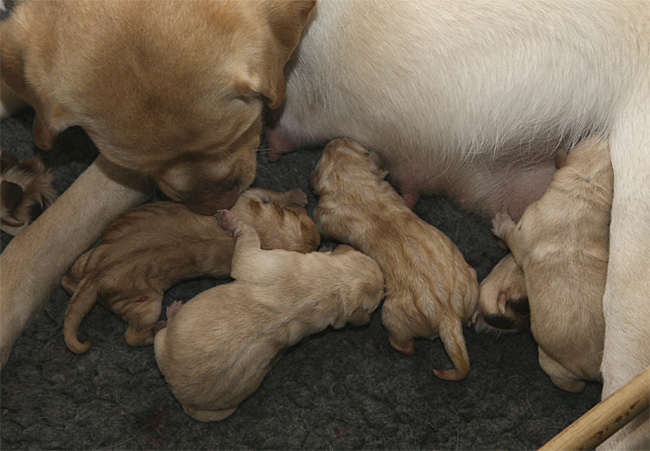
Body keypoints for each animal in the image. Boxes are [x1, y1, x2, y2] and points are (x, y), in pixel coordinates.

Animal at [59, 187, 318, 354]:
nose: (318, 241)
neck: (266, 231)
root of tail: (95, 278)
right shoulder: (248, 196)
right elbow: (270, 192)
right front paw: (297, 196)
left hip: (90, 258)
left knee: (67, 280)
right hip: (146, 305)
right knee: (133, 336)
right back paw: (162, 326)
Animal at [154, 210, 382, 422]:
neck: (333, 287)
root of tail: (185, 400)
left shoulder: (262, 261)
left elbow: (247, 237)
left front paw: (229, 220)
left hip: (161, 345)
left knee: (162, 334)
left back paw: (172, 313)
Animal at [308, 138, 476, 382]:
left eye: (324, 154)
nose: (334, 139)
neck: (356, 185)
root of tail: (449, 315)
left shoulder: (326, 216)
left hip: (392, 315)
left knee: (406, 346)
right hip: (471, 280)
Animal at [488, 137, 612, 392]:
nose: (604, 135)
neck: (582, 190)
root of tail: (595, 372)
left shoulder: (525, 228)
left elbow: (512, 236)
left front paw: (501, 222)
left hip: (554, 364)